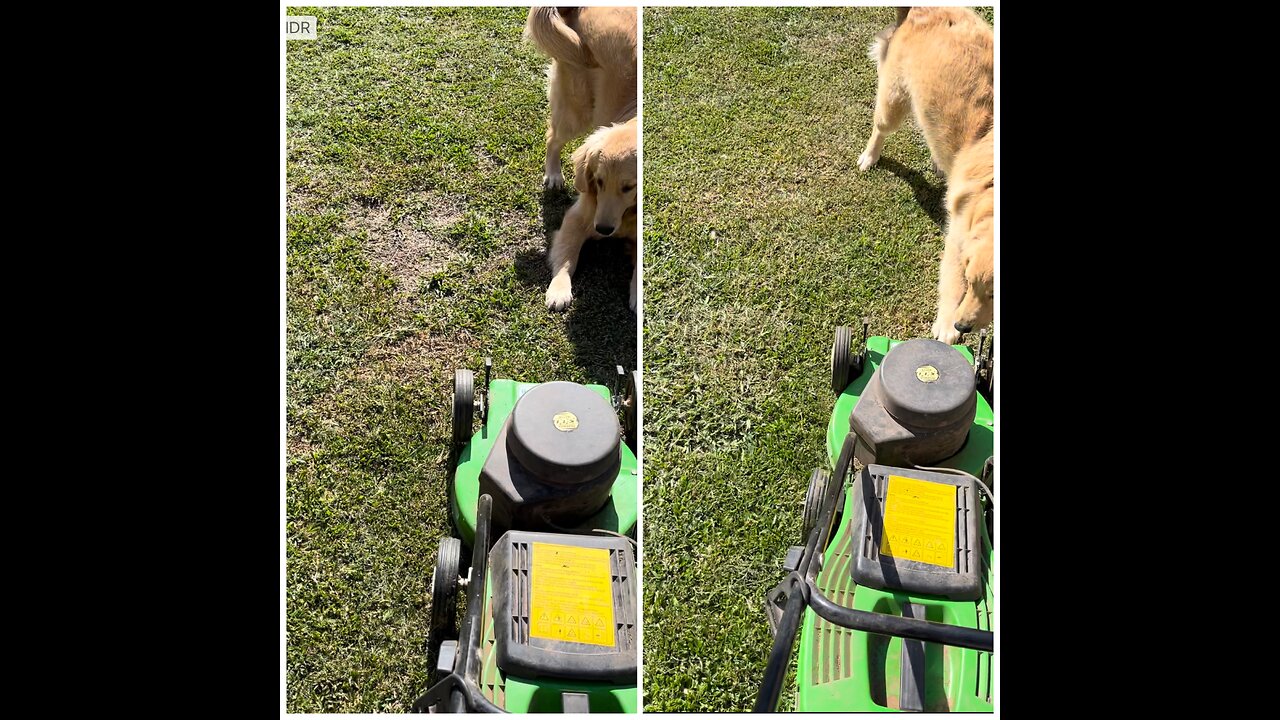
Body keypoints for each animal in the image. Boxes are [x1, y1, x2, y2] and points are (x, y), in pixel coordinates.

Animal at [522, 5, 637, 310]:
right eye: (598, 181)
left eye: (629, 187)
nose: (604, 230)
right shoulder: (578, 217)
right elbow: (567, 259)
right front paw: (558, 291)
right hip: (577, 109)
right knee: (552, 137)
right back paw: (553, 175)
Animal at [855, 5, 993, 340]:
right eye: (970, 281)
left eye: (995, 294)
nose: (962, 326)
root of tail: (925, 7)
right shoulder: (959, 236)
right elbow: (951, 276)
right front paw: (945, 325)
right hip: (893, 100)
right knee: (879, 128)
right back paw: (869, 157)